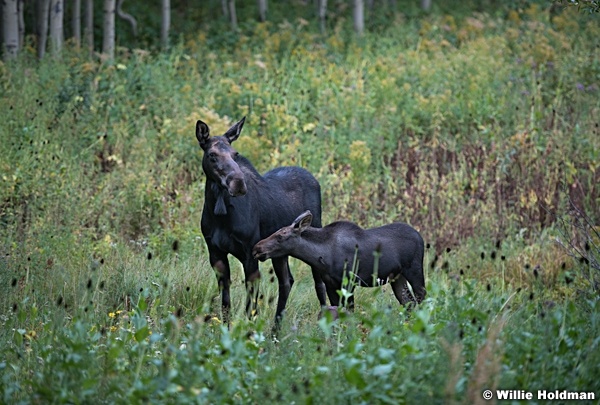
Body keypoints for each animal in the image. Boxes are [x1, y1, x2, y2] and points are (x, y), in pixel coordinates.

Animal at [197, 116, 328, 326]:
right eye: (212, 155)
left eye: (235, 154)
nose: (238, 183)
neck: (219, 214)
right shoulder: (215, 253)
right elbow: (226, 303)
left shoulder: (250, 253)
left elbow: (251, 306)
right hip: (280, 250)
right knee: (287, 281)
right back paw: (277, 325)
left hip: (312, 232)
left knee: (318, 282)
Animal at [253, 210, 426, 310]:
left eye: (281, 236)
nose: (257, 248)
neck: (322, 256)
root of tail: (421, 237)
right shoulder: (330, 283)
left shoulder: (349, 282)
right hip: (397, 277)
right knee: (409, 302)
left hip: (414, 270)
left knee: (422, 297)